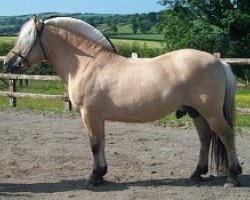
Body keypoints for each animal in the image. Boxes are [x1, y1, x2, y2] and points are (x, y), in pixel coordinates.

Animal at [3, 15, 242, 188]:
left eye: (27, 39)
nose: (7, 63)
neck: (88, 63)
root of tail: (219, 62)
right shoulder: (97, 117)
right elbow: (101, 142)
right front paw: (102, 173)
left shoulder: (89, 114)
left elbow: (94, 144)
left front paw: (94, 177)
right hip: (196, 112)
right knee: (205, 138)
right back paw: (196, 173)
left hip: (210, 112)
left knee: (226, 135)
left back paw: (232, 177)